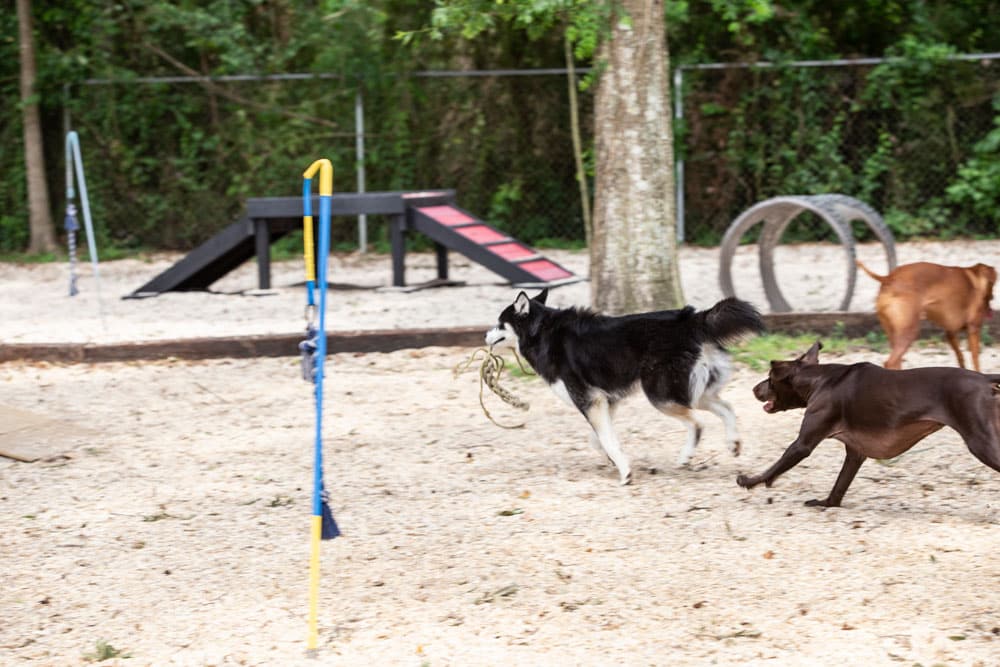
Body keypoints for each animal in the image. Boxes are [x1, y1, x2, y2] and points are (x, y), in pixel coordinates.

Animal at [486, 292, 764, 486]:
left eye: (499, 323)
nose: (485, 336)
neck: (541, 331)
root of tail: (692, 319)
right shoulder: (607, 399)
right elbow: (599, 439)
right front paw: (614, 459)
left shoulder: (589, 400)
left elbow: (606, 439)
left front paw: (625, 471)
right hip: (689, 391)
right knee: (726, 407)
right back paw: (733, 443)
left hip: (661, 394)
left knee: (698, 423)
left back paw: (686, 456)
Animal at [736, 344, 1000, 506]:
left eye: (769, 380)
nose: (754, 389)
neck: (820, 379)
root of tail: (984, 379)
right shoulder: (855, 453)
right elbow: (840, 484)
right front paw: (827, 503)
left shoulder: (803, 444)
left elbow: (774, 467)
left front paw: (750, 481)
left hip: (981, 442)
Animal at [856, 260, 996, 374]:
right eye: (992, 286)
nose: (992, 302)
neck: (977, 278)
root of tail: (888, 278)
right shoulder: (973, 329)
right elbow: (975, 358)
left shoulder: (950, 333)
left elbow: (960, 356)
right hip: (909, 331)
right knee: (890, 362)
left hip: (894, 335)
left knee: (896, 361)